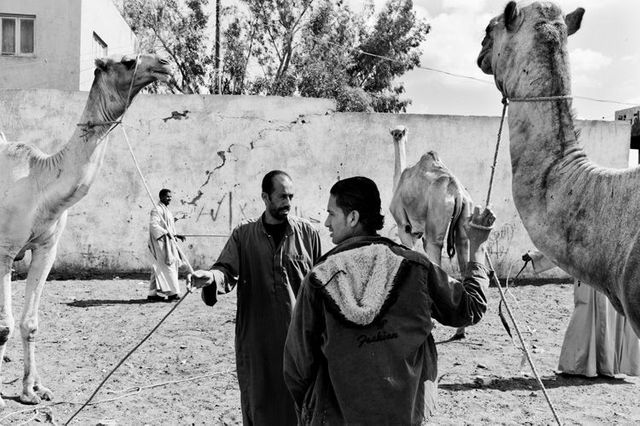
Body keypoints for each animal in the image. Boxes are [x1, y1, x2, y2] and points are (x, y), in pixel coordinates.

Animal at [0, 53, 171, 407]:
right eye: (127, 60)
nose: (164, 63)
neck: (39, 182)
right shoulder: (4, 251)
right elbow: (5, 324)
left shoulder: (46, 249)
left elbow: (30, 322)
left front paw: (32, 390)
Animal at [388, 126, 473, 338]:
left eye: (400, 131)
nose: (398, 133)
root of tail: (457, 193)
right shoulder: (416, 231)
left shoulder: (404, 227)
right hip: (464, 222)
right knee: (464, 258)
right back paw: (460, 330)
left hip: (436, 218)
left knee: (436, 254)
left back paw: (434, 322)